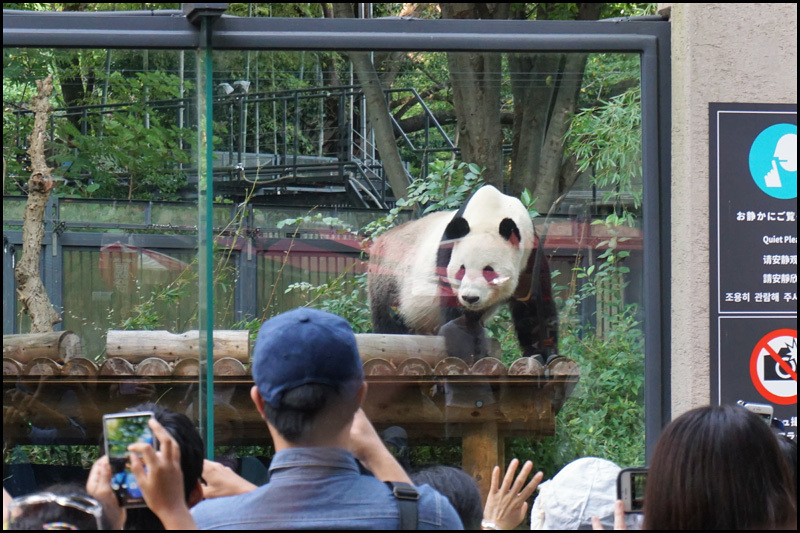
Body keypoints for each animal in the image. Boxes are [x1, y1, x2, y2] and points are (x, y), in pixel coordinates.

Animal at [368, 183, 560, 362]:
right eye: (462, 270)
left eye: (489, 271)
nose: (470, 298)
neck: (491, 213)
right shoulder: (448, 252)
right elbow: (455, 310)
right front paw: (470, 352)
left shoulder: (529, 254)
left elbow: (532, 305)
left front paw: (544, 353)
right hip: (389, 274)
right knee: (387, 316)